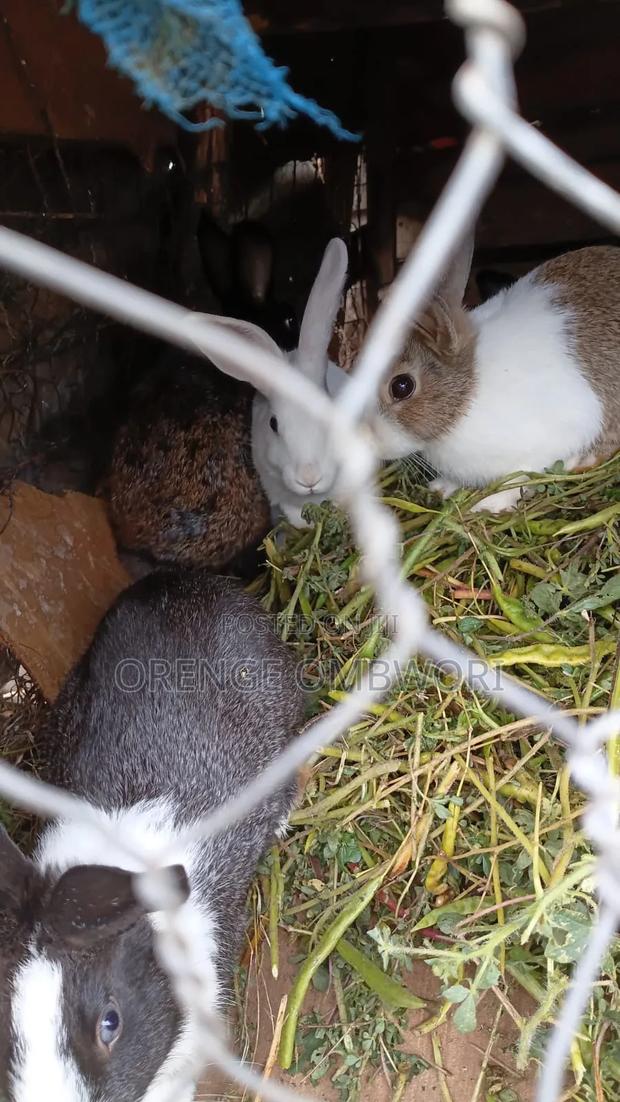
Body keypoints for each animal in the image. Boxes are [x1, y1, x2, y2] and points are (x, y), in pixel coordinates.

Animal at [373, 234, 620, 512]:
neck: (468, 393)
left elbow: (515, 481)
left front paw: (486, 504)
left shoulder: (546, 443)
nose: (369, 441)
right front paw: (442, 488)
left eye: (401, 386)